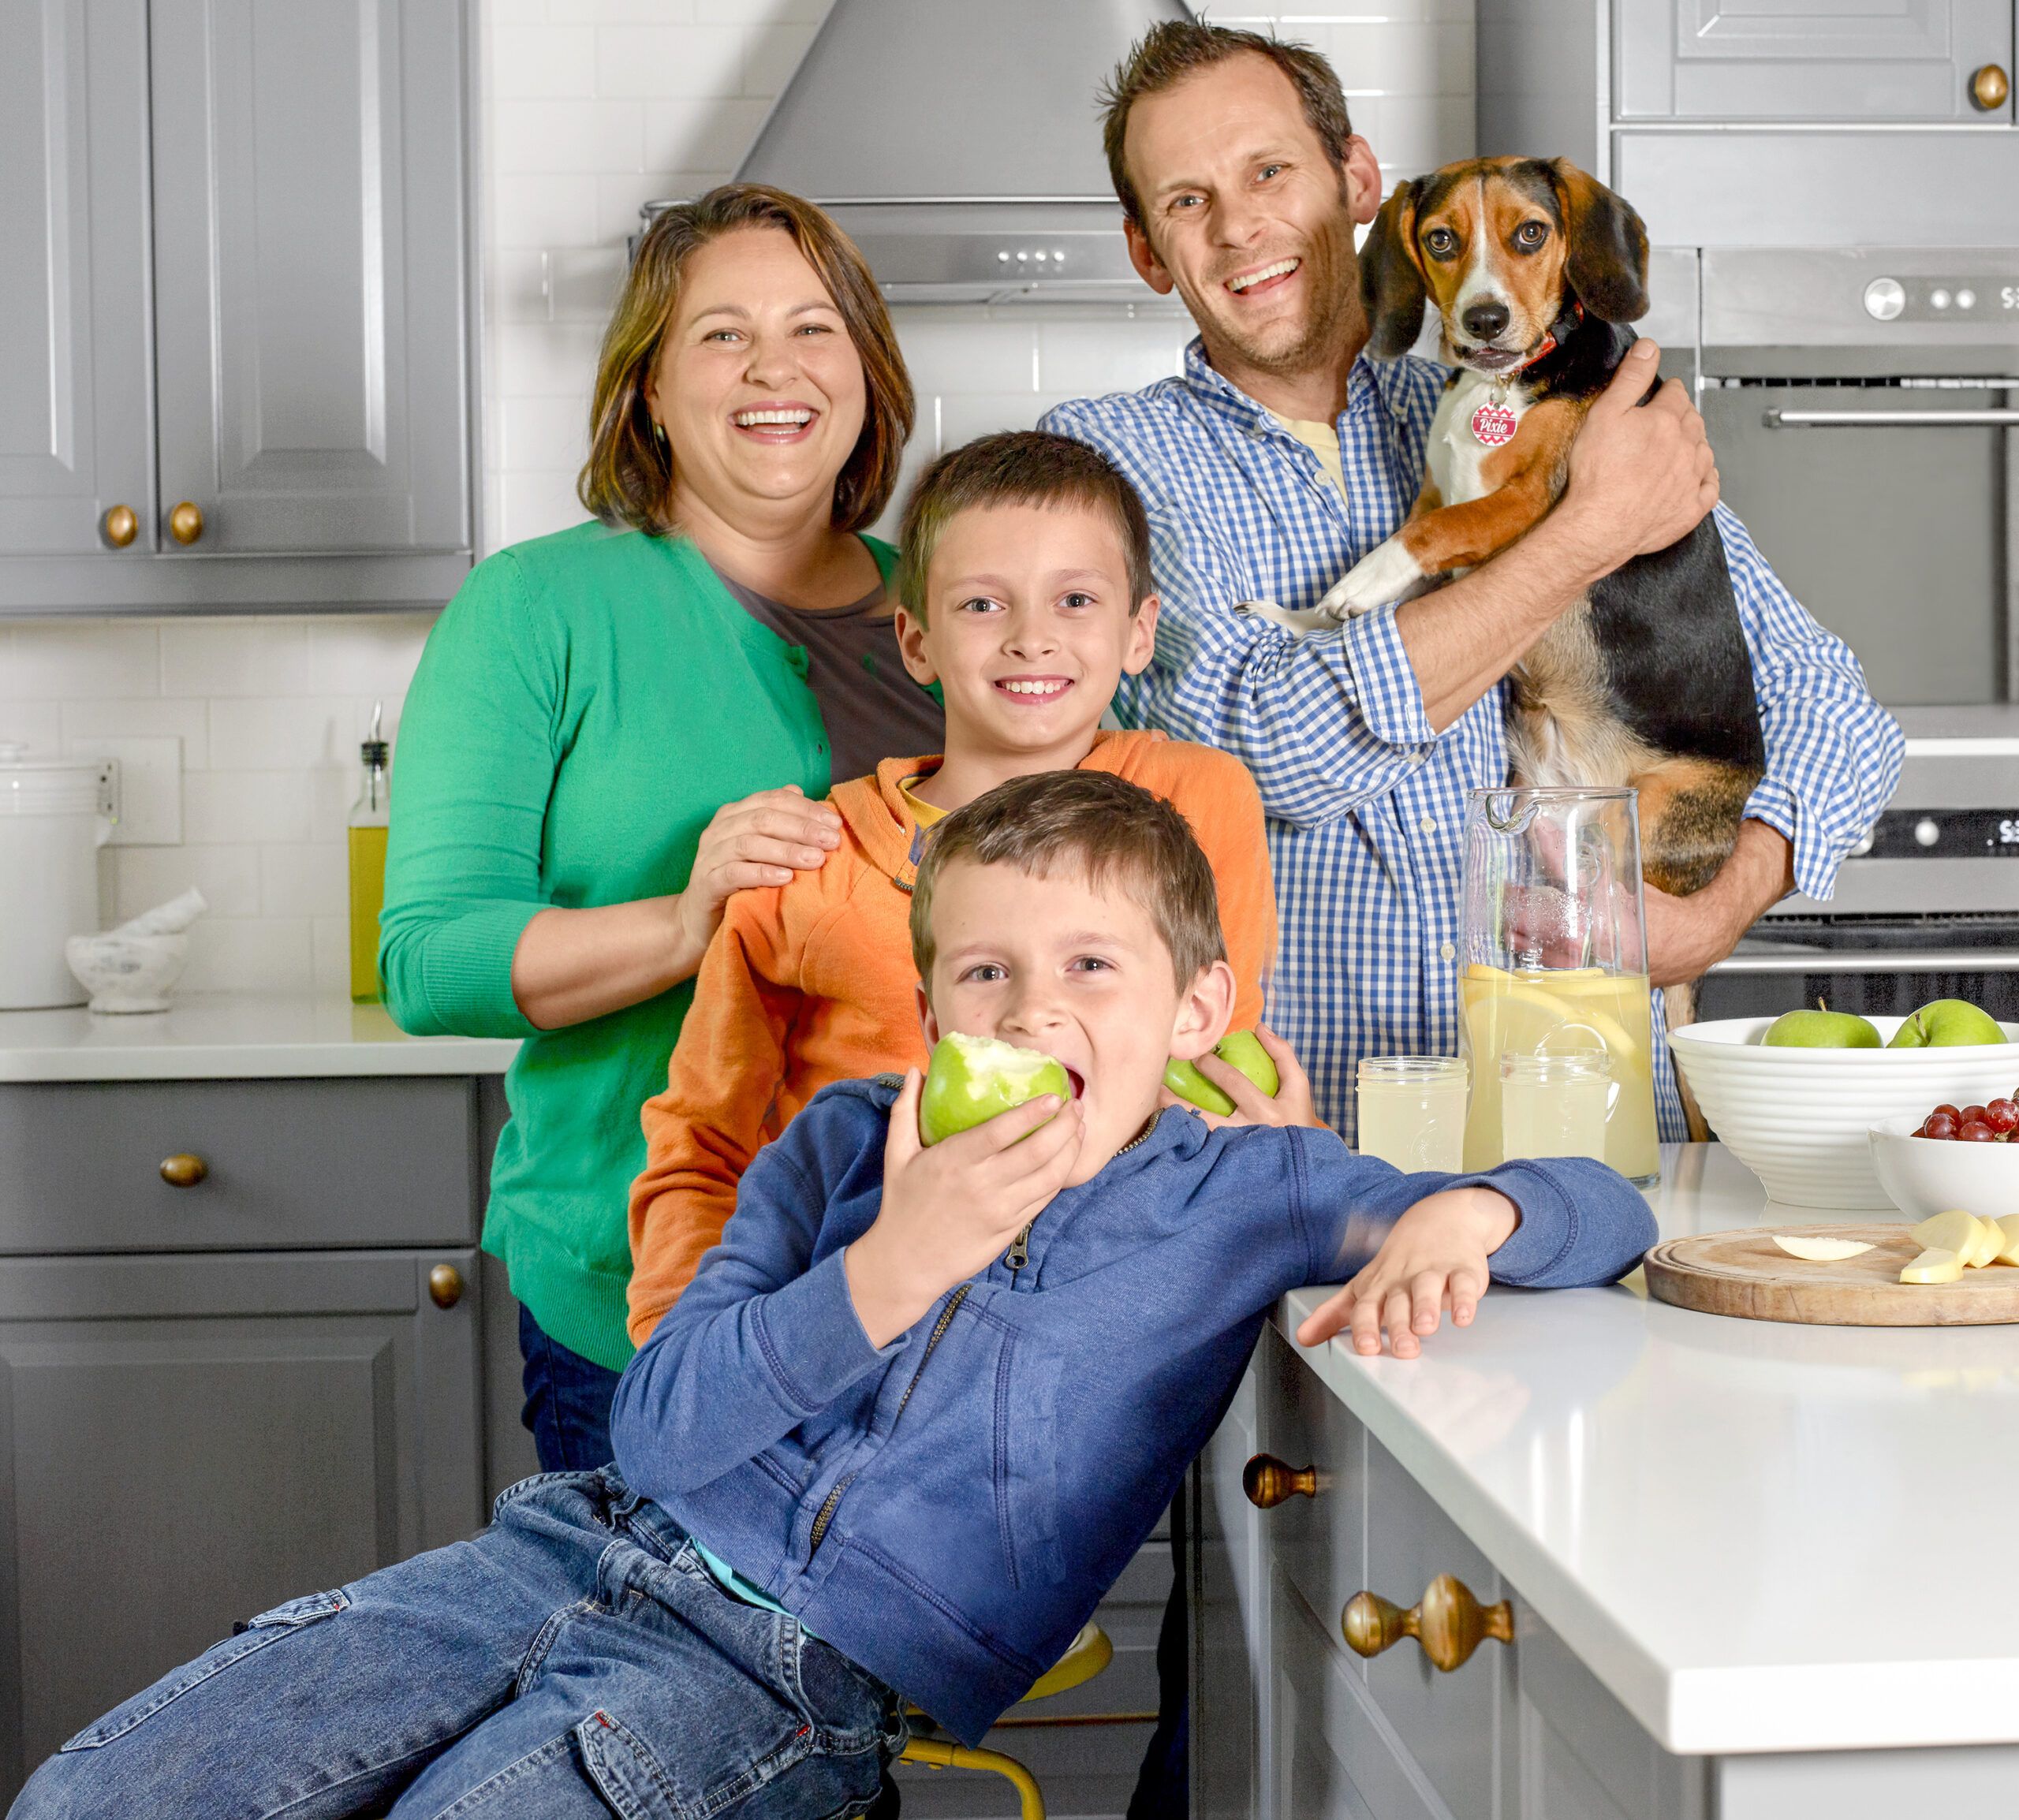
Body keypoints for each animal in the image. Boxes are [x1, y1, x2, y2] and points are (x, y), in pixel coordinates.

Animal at [1252, 153, 1760, 908]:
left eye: (1530, 233)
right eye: (1440, 239)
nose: (1485, 320)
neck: (1501, 384)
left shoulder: (1529, 502)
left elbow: (1434, 533)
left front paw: (1359, 581)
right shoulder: (1434, 496)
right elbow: (1391, 591)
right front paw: (1299, 615)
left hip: (1646, 824)